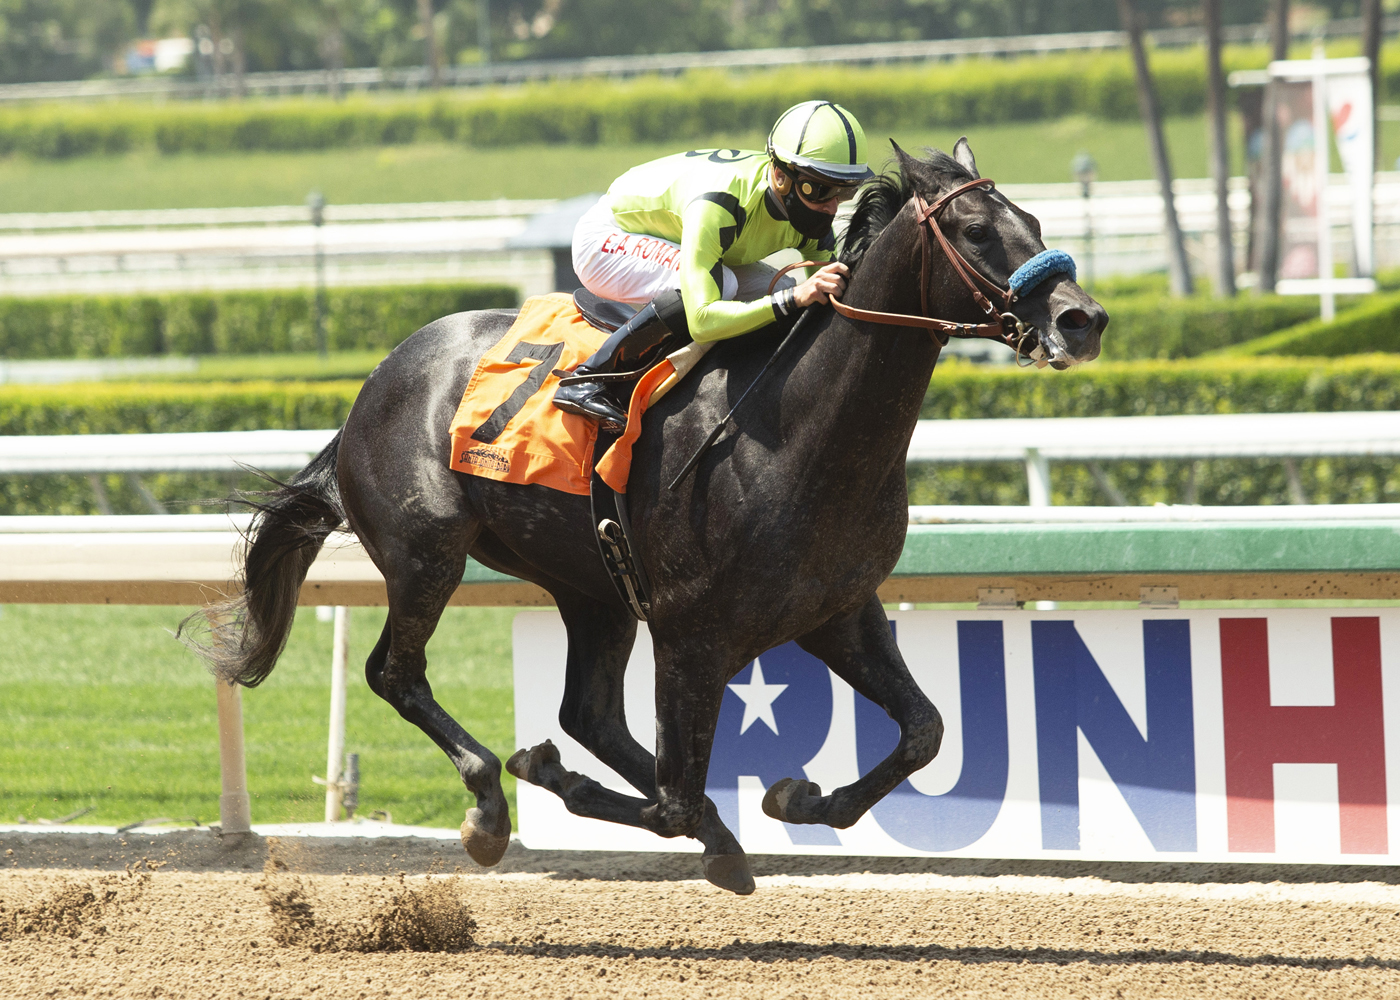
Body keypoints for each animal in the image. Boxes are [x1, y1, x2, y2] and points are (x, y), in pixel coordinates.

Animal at [183, 136, 1103, 890]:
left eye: (1033, 218)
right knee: (397, 674)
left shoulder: (837, 609)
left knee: (588, 713)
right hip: (427, 554)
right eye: (977, 231)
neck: (803, 434)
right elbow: (670, 799)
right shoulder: (693, 633)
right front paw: (547, 778)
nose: (1082, 318)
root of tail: (375, 384)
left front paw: (799, 798)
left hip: (592, 585)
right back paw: (490, 805)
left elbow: (925, 731)